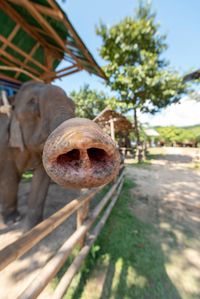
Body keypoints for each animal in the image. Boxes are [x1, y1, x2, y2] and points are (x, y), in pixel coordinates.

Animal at [0, 81, 119, 229]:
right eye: (32, 103)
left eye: (73, 104)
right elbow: (8, 177)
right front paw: (13, 221)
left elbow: (41, 179)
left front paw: (34, 226)